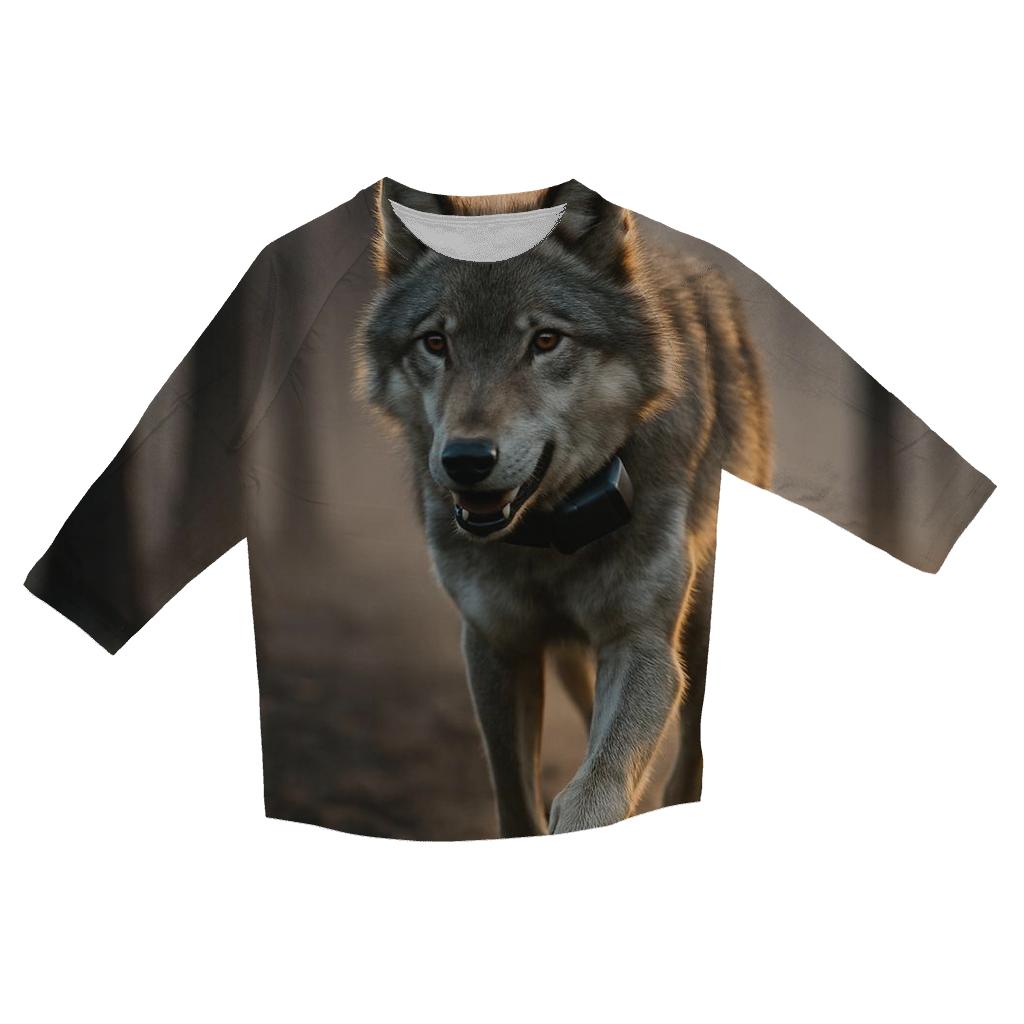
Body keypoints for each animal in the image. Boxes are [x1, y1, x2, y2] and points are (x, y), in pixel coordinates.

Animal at [355, 179, 772, 837]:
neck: (549, 537)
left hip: (700, 628)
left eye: (545, 341)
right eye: (436, 342)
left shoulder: (642, 643)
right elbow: (514, 799)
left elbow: (595, 791)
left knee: (694, 753)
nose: (466, 459)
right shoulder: (496, 645)